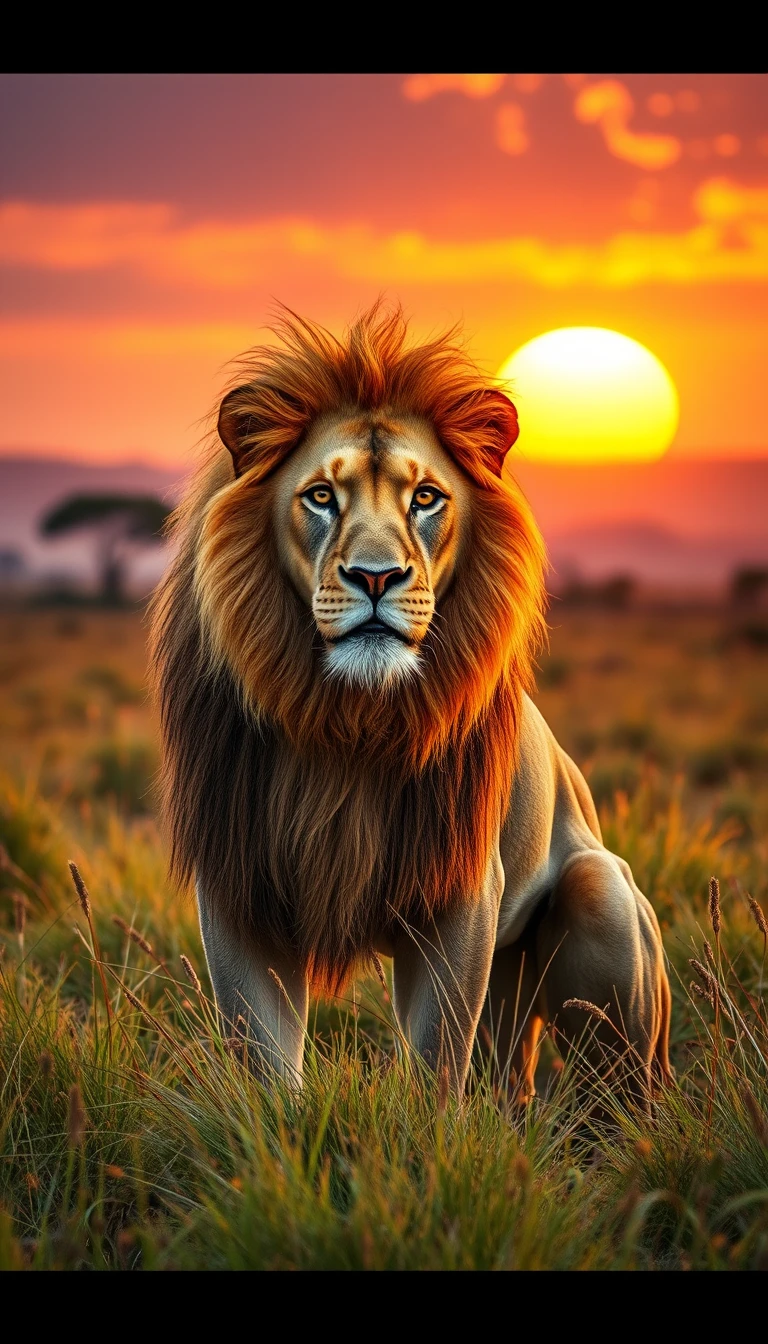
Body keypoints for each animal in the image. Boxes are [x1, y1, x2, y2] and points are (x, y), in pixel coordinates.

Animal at [149, 300, 672, 1109]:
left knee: (614, 1098)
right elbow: (263, 1061)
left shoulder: (460, 896)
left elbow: (434, 1061)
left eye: (425, 497)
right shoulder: (239, 886)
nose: (374, 577)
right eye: (321, 496)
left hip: (600, 901)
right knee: (507, 1084)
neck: (347, 721)